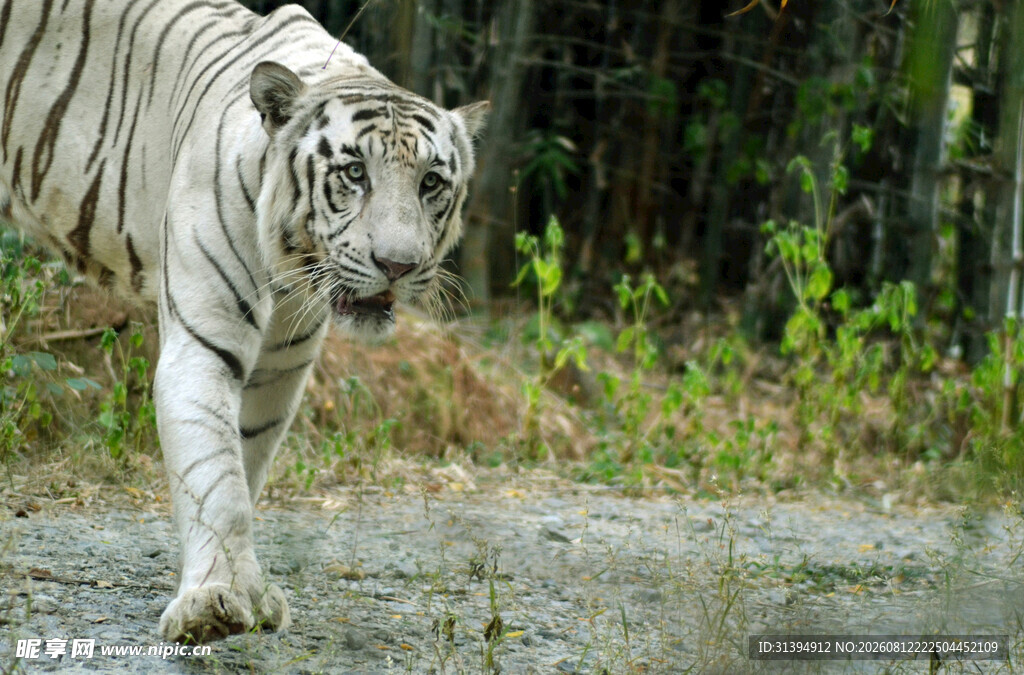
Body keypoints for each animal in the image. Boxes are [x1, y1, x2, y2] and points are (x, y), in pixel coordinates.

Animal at [0, 0, 487, 643]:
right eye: (355, 173)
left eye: (431, 182)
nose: (398, 264)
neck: (291, 270)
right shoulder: (203, 346)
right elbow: (217, 479)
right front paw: (214, 602)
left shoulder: (280, 370)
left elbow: (243, 467)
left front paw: (243, 590)